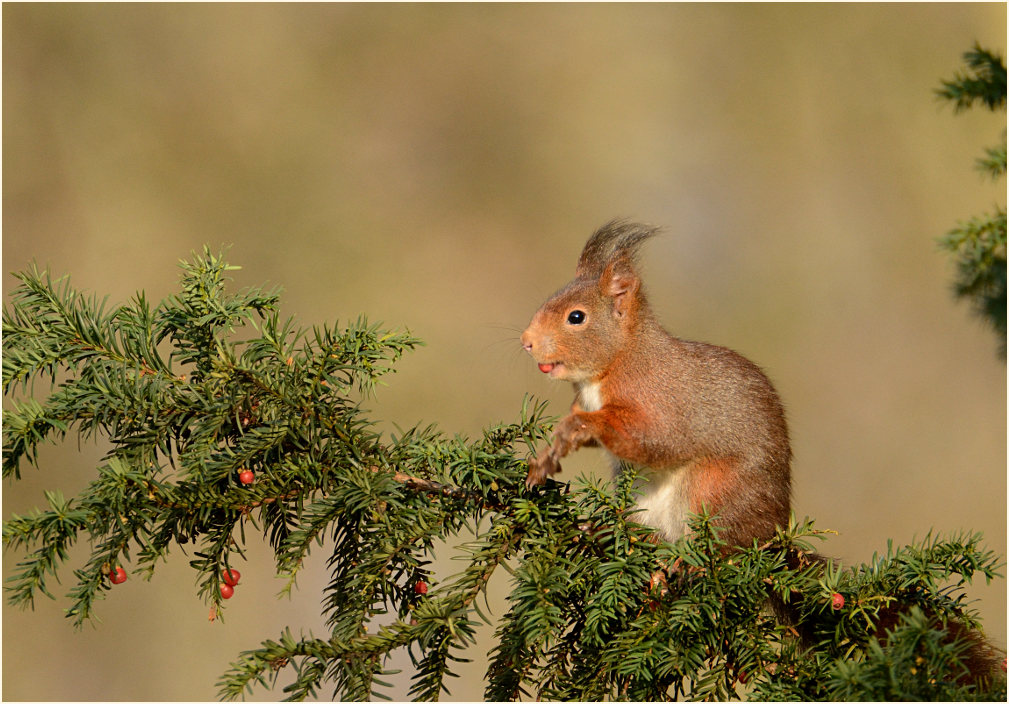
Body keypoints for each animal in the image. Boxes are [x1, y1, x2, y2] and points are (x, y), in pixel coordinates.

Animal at [521, 219, 791, 547]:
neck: (618, 362)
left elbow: (653, 438)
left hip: (714, 489)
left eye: (576, 317)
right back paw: (608, 531)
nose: (526, 341)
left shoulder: (661, 401)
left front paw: (577, 427)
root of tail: (776, 533)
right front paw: (546, 458)